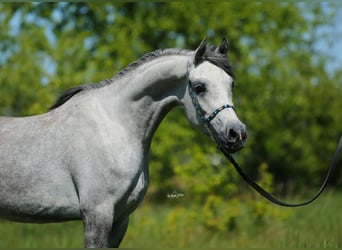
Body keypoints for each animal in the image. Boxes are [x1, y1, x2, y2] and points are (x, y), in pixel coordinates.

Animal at [0, 39, 246, 248]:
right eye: (199, 86)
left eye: (232, 84)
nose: (237, 133)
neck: (115, 125)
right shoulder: (97, 215)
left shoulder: (120, 219)